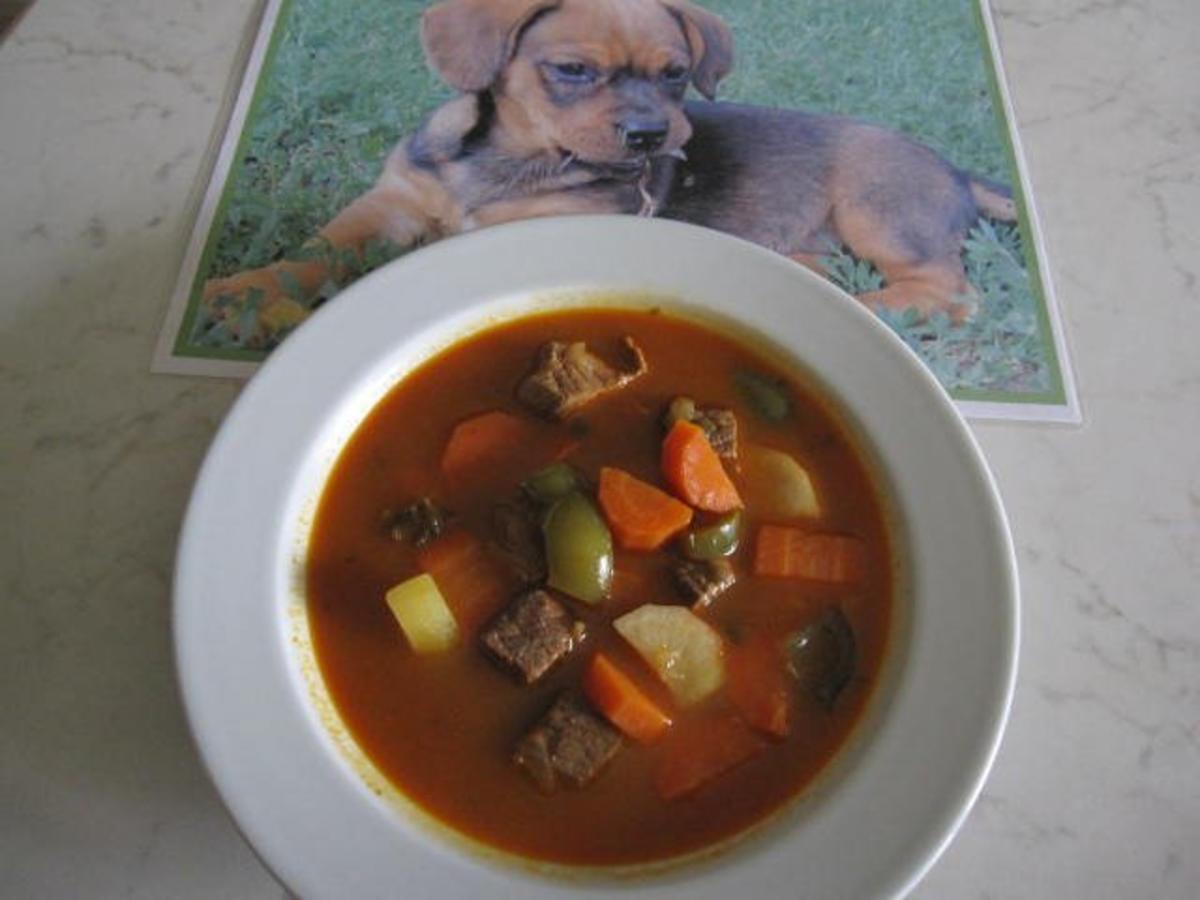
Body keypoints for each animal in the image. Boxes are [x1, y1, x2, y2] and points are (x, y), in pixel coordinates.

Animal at [204, 0, 1012, 333]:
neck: (512, 160)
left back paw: (864, 311)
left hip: (879, 210)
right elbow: (316, 253)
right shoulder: (391, 203)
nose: (654, 137)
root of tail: (953, 169)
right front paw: (242, 291)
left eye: (677, 73)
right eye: (571, 70)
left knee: (947, 291)